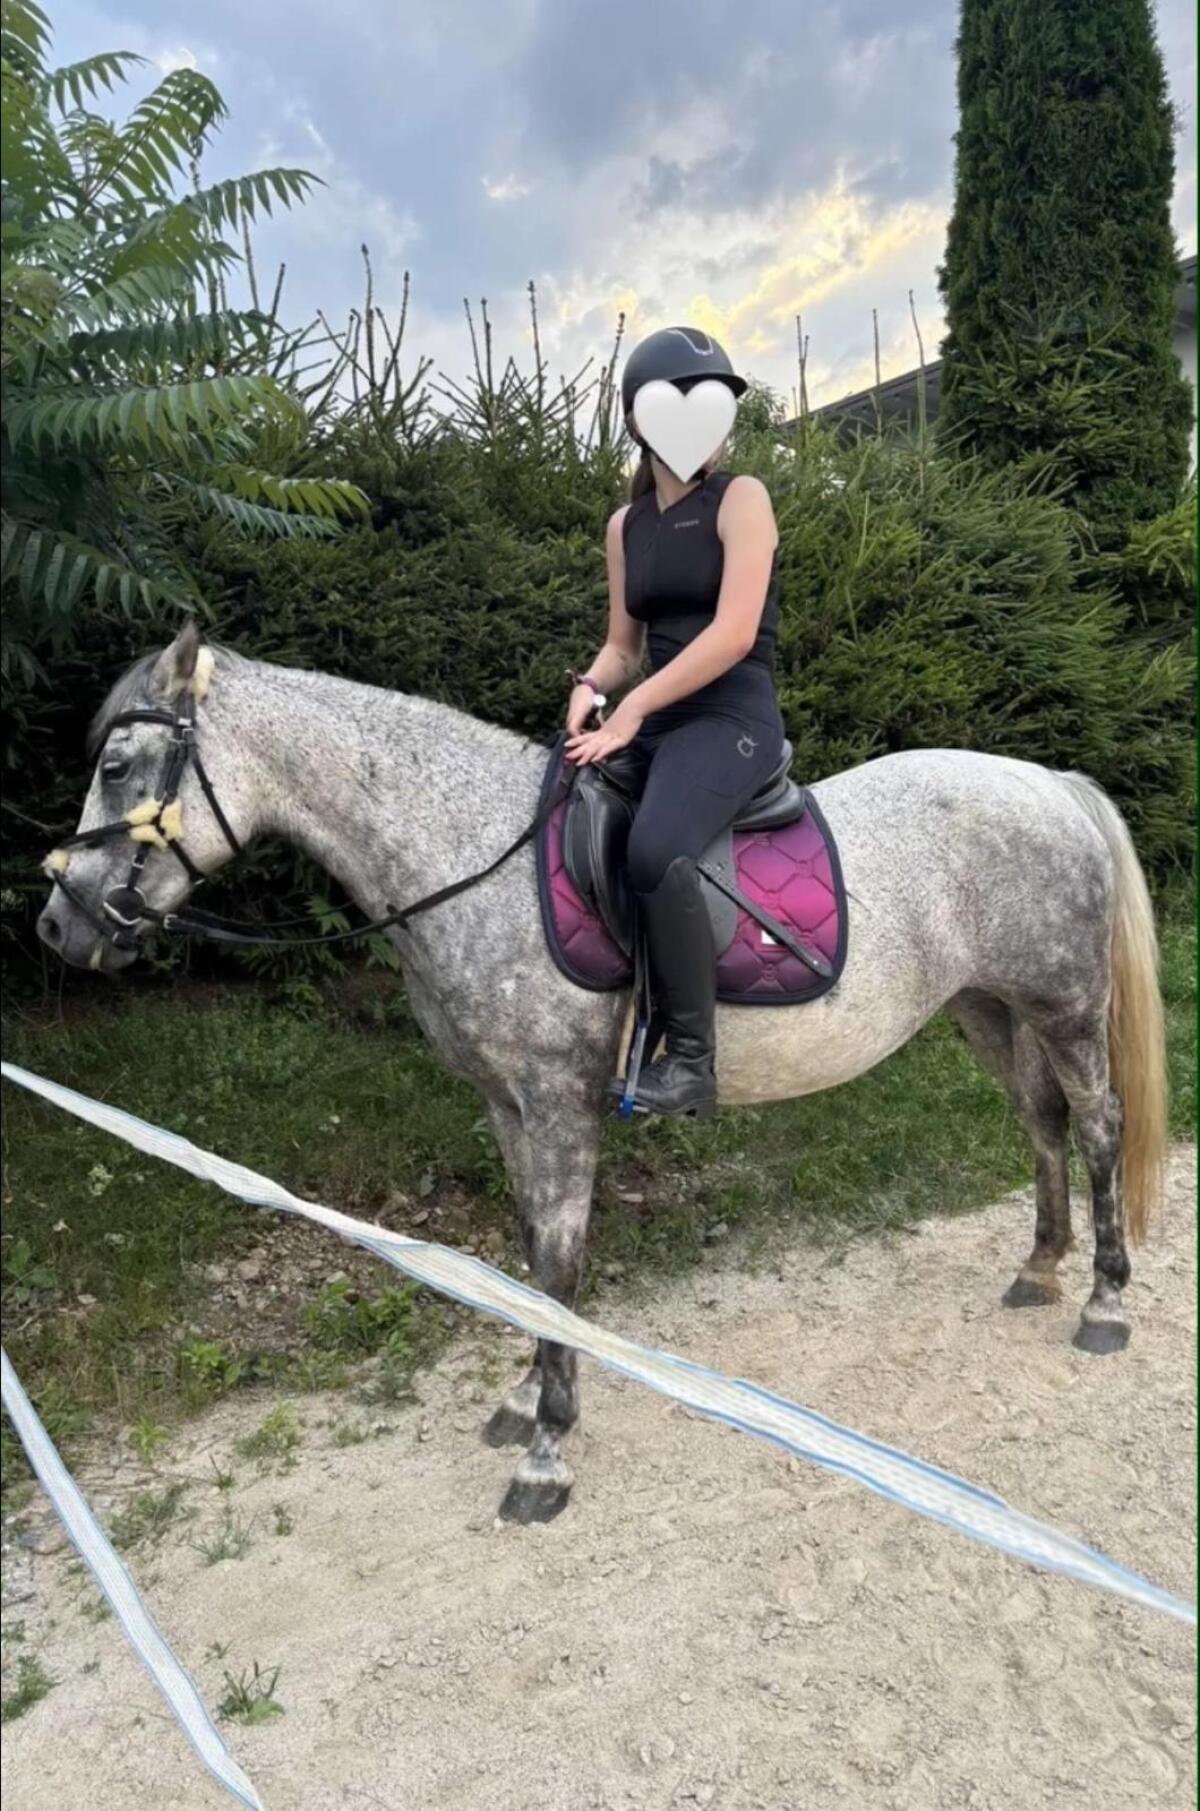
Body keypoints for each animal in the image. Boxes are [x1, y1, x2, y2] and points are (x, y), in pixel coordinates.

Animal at [37, 623, 1167, 1523]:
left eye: (123, 766)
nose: (57, 923)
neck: (470, 857)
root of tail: (1048, 782)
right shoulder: (504, 1105)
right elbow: (531, 1250)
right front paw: (525, 1399)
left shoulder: (556, 1102)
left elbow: (560, 1261)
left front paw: (547, 1451)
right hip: (987, 1009)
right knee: (1041, 1121)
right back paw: (1039, 1266)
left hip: (1064, 1006)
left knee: (1097, 1123)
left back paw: (1103, 1303)